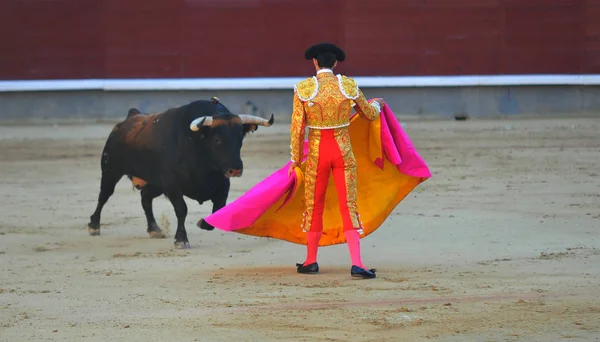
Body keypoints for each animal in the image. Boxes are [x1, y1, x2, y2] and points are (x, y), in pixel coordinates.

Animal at [86, 99, 274, 248]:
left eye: (240, 139)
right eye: (217, 140)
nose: (235, 169)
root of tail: (129, 118)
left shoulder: (222, 183)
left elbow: (219, 207)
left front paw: (203, 223)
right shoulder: (172, 184)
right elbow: (182, 209)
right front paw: (181, 240)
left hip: (155, 183)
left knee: (145, 198)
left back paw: (154, 229)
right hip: (111, 170)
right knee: (104, 195)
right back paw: (94, 226)